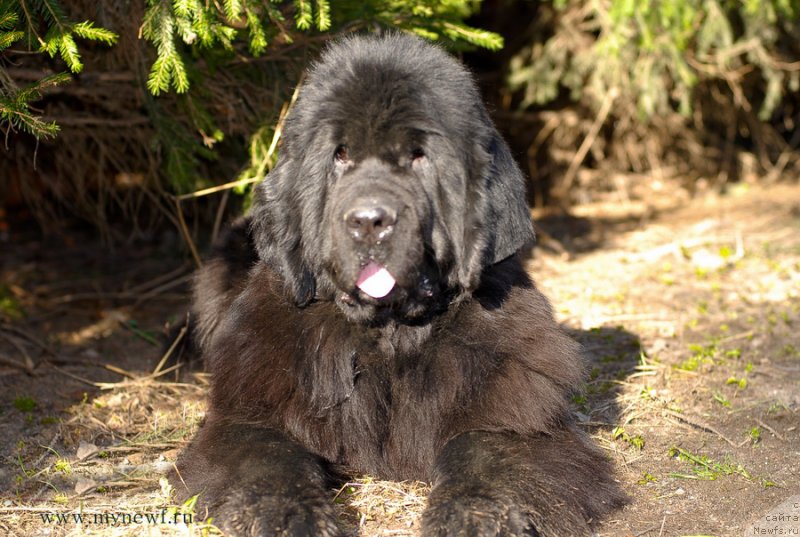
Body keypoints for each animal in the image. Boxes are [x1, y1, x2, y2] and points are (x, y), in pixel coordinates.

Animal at [173, 33, 624, 536]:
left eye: (418, 155)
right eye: (340, 154)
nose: (369, 220)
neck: (387, 338)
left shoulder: (520, 421)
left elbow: (479, 449)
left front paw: (468, 518)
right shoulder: (247, 415)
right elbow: (272, 461)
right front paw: (291, 519)